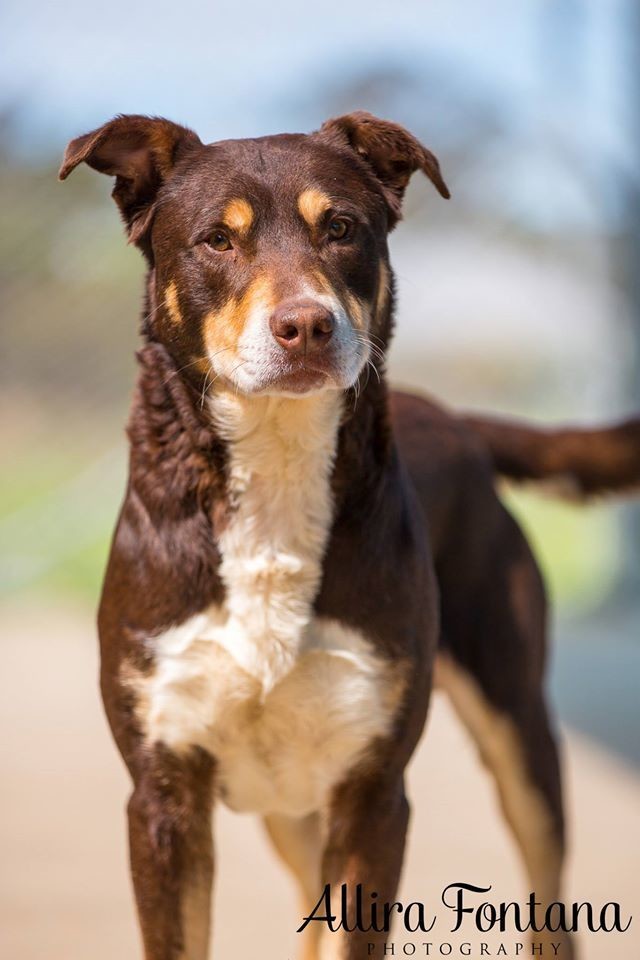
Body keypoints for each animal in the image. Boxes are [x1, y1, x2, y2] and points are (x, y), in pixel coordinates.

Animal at [60, 111, 640, 960]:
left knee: (550, 902)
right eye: (216, 240)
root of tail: (454, 419)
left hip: (518, 728)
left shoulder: (371, 792)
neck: (277, 465)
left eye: (339, 228)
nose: (305, 325)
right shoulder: (163, 796)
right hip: (292, 808)